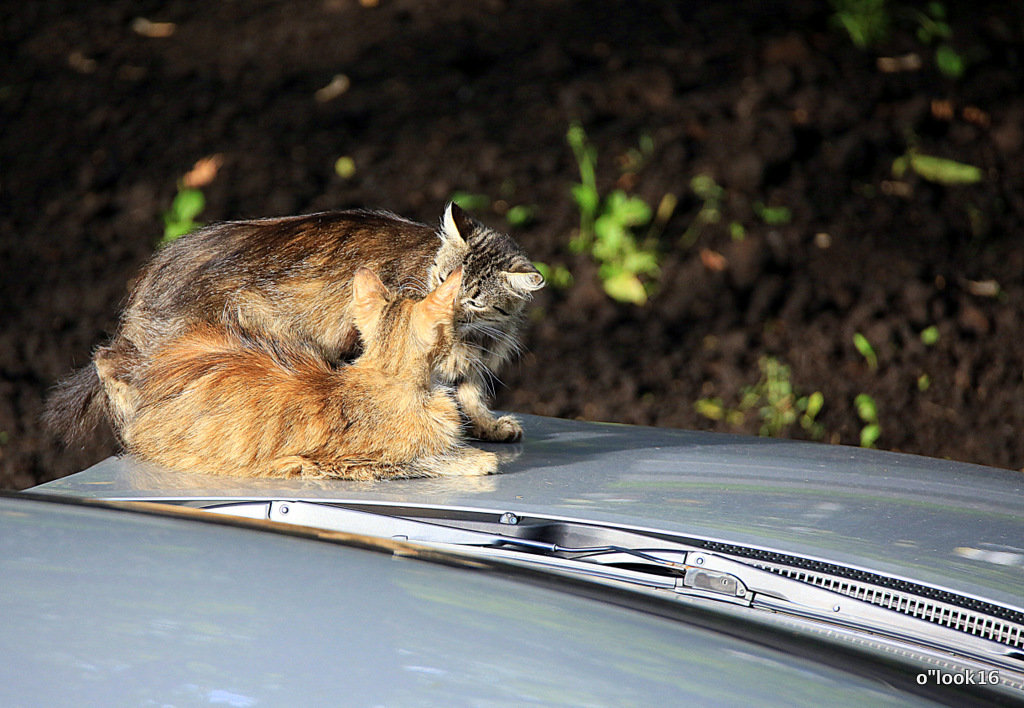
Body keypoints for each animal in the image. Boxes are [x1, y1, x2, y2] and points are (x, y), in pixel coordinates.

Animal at [46, 203, 544, 448]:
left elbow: (471, 394)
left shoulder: (471, 362)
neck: (474, 335)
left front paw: (490, 427)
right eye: (443, 280)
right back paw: (132, 423)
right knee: (109, 361)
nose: (447, 310)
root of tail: (155, 269)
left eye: (474, 300)